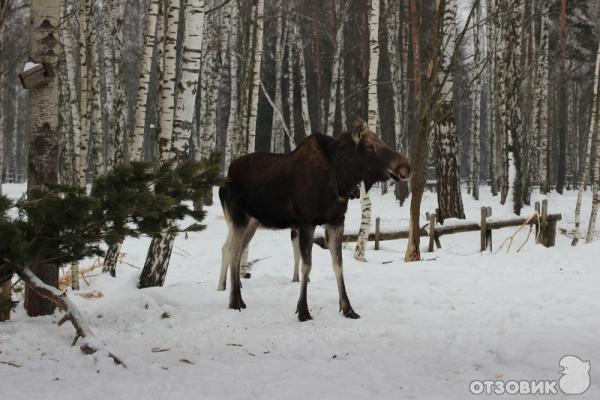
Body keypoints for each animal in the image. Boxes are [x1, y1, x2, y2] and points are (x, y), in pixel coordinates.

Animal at [218, 119, 410, 322]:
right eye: (371, 146)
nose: (405, 167)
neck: (341, 180)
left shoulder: (336, 222)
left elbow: (338, 265)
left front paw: (348, 308)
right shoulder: (306, 223)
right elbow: (306, 266)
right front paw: (303, 310)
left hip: (251, 223)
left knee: (233, 250)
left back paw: (233, 294)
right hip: (239, 217)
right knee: (233, 252)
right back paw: (235, 301)